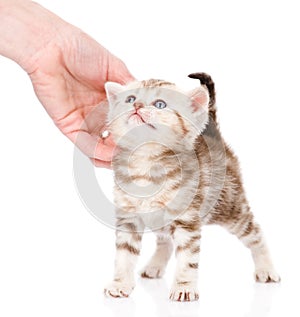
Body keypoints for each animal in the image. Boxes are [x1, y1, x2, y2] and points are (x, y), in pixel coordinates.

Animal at [103, 73, 282, 300]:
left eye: (160, 104)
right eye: (130, 99)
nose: (137, 106)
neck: (145, 161)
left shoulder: (187, 220)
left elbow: (187, 258)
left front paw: (184, 287)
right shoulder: (129, 218)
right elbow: (124, 255)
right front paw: (120, 283)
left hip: (231, 208)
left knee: (256, 234)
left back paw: (266, 268)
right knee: (165, 241)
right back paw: (155, 265)